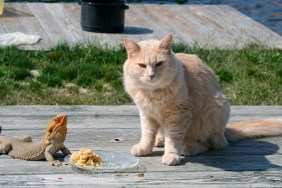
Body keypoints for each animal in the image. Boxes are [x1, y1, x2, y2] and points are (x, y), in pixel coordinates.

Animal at [123, 33, 282, 166]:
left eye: (159, 64)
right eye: (142, 65)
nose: (151, 76)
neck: (152, 93)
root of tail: (224, 131)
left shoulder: (178, 114)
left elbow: (173, 138)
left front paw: (171, 155)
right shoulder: (146, 113)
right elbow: (147, 134)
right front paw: (144, 148)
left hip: (214, 110)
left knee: (211, 144)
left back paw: (190, 147)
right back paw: (160, 139)